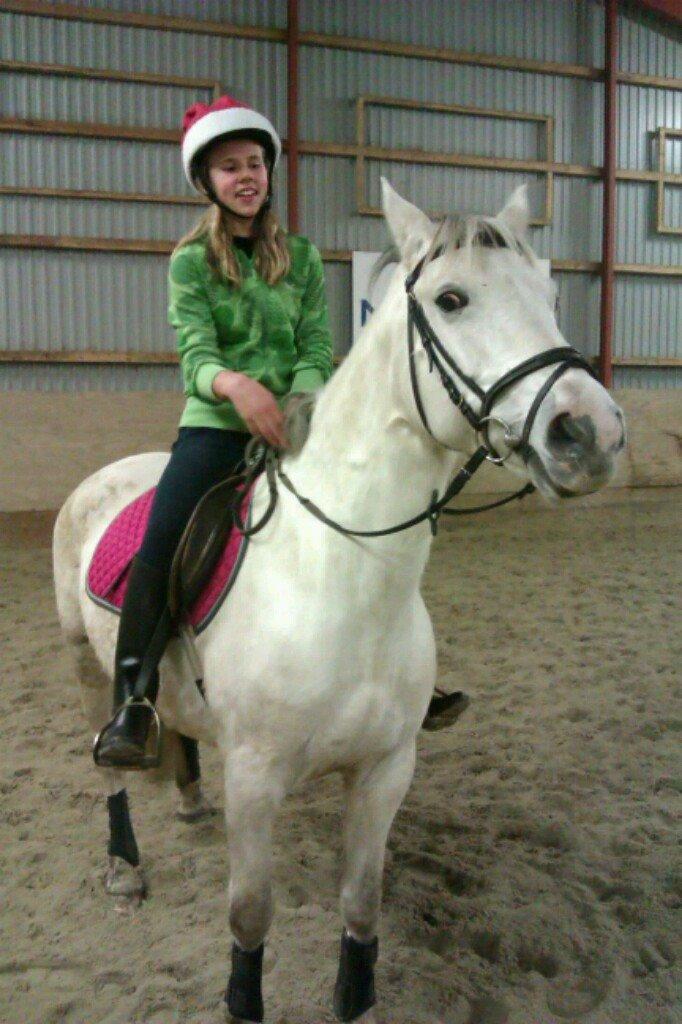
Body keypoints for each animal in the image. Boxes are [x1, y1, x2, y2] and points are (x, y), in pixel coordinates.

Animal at [52, 180, 625, 1023]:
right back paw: (124, 863)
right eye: (452, 299)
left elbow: (361, 905)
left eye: (551, 295)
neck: (343, 578)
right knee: (112, 768)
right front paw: (242, 1001)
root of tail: (110, 474)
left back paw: (187, 798)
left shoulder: (387, 769)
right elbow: (250, 915)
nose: (590, 433)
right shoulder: (255, 779)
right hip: (85, 667)